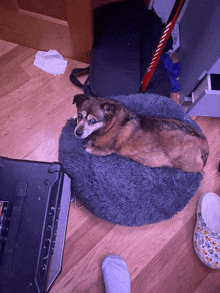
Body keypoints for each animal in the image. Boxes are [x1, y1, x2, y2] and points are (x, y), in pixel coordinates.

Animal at [73, 93, 209, 172]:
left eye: (92, 121)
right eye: (80, 115)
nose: (77, 133)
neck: (109, 122)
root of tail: (203, 141)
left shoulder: (106, 150)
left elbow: (90, 149)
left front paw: (89, 146)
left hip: (187, 165)